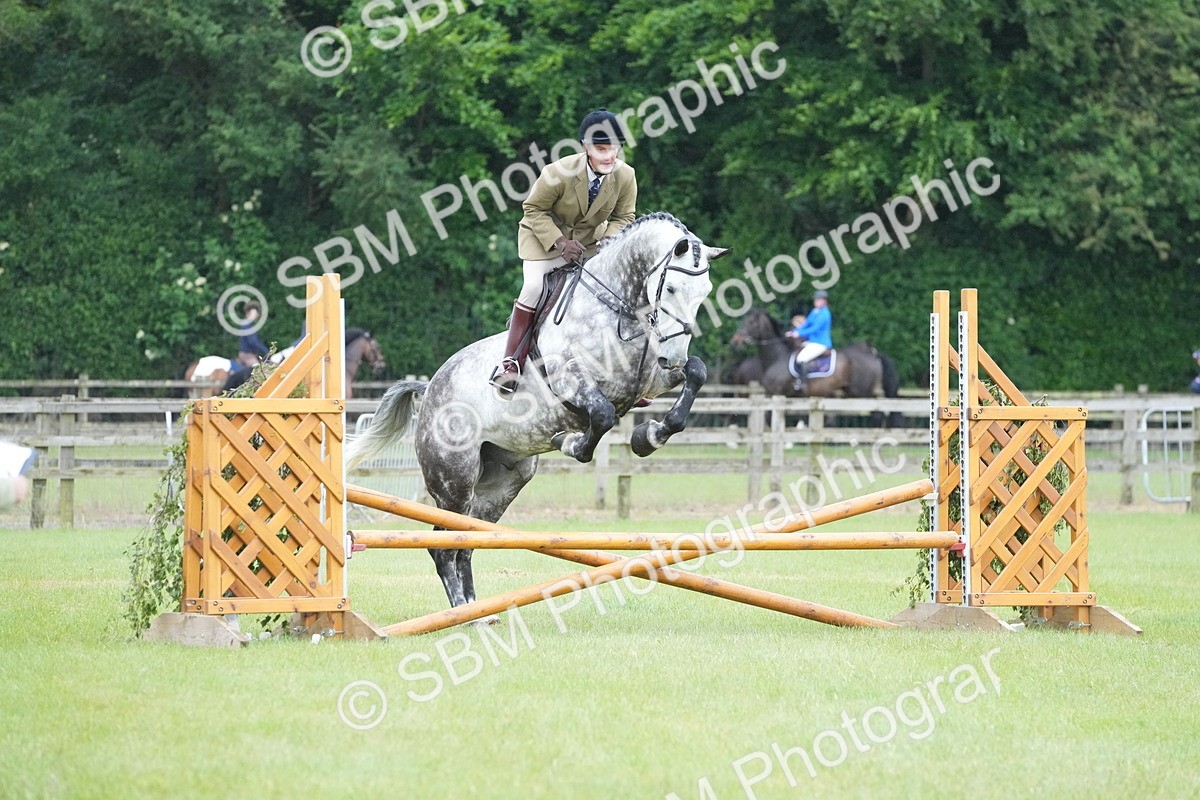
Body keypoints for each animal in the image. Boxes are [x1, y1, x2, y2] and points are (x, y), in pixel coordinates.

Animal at [347, 212, 727, 613]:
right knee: (443, 548)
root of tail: (431, 387)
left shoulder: (651, 379)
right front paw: (571, 442)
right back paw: (466, 613)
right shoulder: (571, 380)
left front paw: (648, 436)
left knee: (467, 545)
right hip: (454, 483)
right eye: (670, 290)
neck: (618, 309)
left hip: (501, 486)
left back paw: (479, 612)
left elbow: (696, 374)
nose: (674, 355)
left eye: (704, 295)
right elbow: (603, 415)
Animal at [731, 307, 901, 425]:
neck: (777, 357)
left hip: (863, 392)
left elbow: (769, 416)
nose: (735, 342)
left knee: (877, 413)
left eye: (750, 322)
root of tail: (871, 351)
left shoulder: (776, 393)